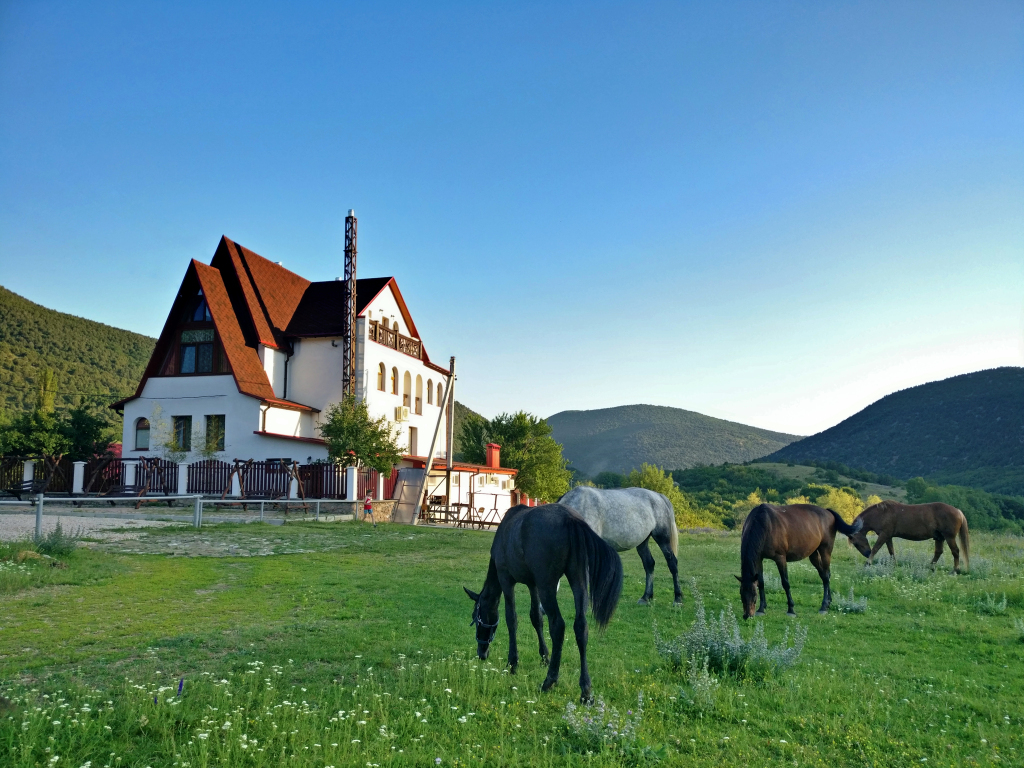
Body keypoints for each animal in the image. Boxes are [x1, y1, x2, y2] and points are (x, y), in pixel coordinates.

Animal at [464, 505, 622, 704]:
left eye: (476, 618)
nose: (482, 653)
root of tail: (569, 518)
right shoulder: (533, 585)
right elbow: (536, 618)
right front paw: (544, 656)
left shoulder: (506, 580)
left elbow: (511, 619)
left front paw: (512, 663)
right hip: (577, 579)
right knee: (581, 626)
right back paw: (585, 690)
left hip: (548, 584)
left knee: (558, 626)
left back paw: (549, 681)